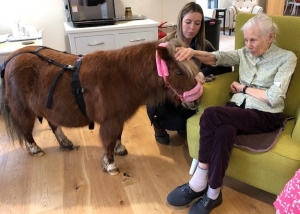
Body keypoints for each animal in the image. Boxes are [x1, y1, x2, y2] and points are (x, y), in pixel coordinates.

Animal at [0, 38, 202, 176]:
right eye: (178, 72)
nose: (197, 100)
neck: (123, 76)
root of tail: (11, 58)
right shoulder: (110, 121)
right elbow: (109, 140)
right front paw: (110, 164)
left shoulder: (118, 119)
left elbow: (118, 136)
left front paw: (119, 150)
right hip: (23, 109)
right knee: (26, 129)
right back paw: (35, 149)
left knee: (53, 124)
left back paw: (65, 143)